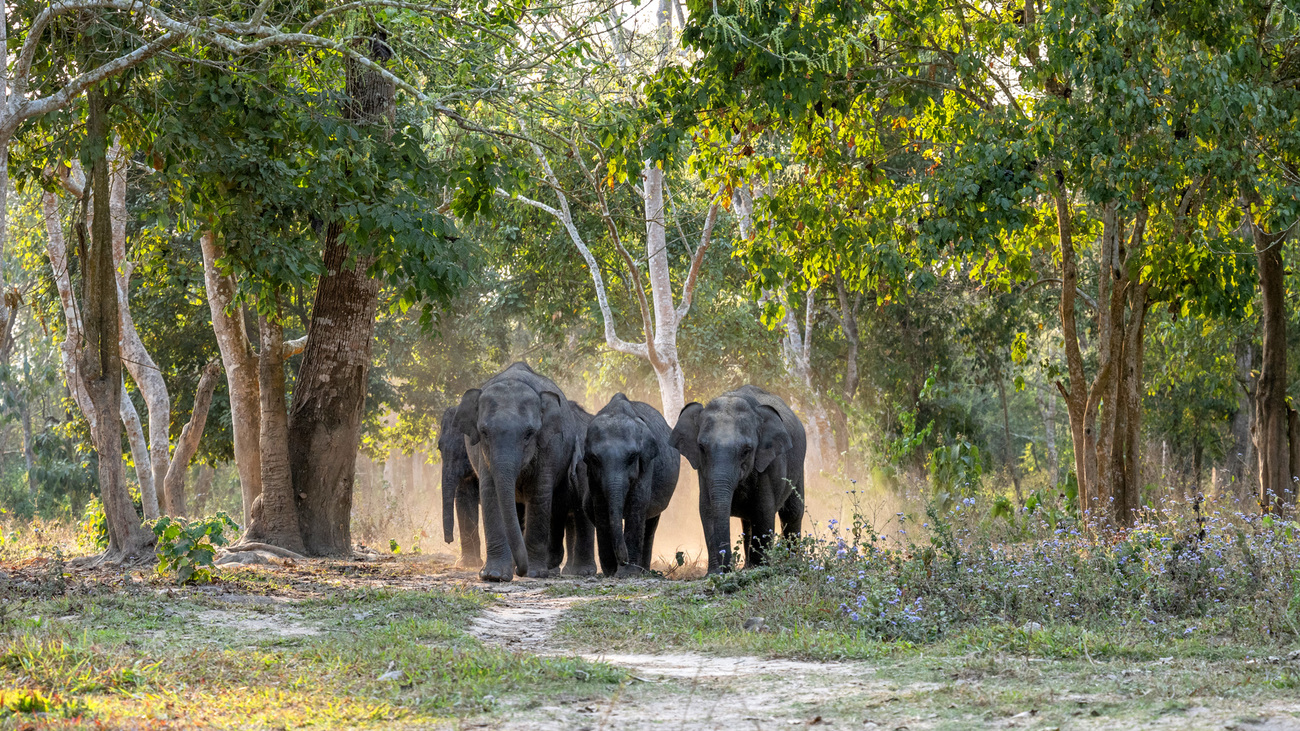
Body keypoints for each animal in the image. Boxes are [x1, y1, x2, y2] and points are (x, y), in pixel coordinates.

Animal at [449, 361, 587, 577]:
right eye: (484, 432)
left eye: (529, 433)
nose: (521, 571)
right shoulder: (483, 454)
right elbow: (490, 493)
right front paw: (493, 576)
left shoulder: (549, 446)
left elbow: (539, 494)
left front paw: (535, 573)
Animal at [579, 392, 681, 574]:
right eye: (595, 459)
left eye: (632, 457)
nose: (623, 560)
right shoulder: (591, 473)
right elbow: (600, 506)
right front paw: (611, 571)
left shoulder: (646, 463)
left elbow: (637, 503)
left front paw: (626, 573)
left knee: (650, 524)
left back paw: (643, 570)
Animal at [670, 385, 800, 572]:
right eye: (701, 447)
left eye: (747, 450)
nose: (728, 567)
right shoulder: (703, 471)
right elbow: (708, 509)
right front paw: (715, 572)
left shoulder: (769, 465)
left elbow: (763, 511)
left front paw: (758, 569)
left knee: (792, 512)